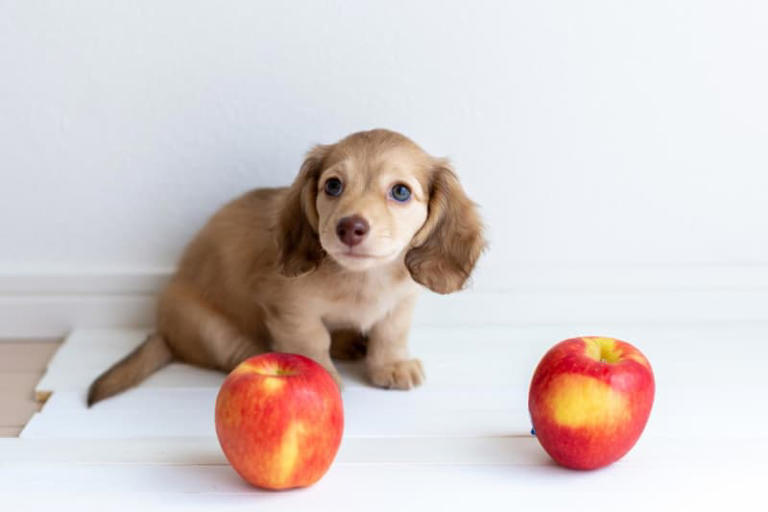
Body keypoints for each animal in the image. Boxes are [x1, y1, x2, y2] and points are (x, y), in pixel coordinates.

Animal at [88, 127, 486, 404]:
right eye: (333, 185)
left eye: (401, 192)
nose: (349, 228)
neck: (362, 279)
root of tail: (163, 332)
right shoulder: (291, 309)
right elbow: (311, 342)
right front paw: (321, 375)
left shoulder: (400, 304)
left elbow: (390, 334)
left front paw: (390, 365)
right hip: (208, 327)